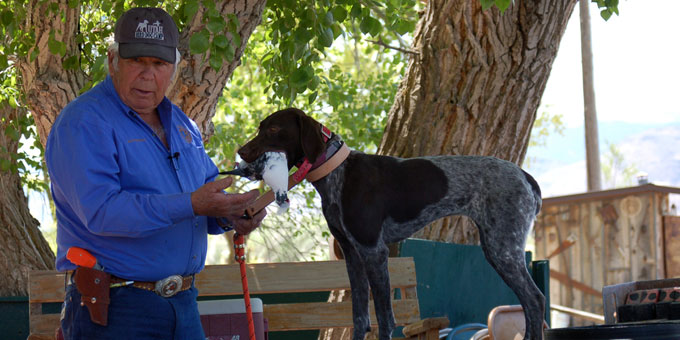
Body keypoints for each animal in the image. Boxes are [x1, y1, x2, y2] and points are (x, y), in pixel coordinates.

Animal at [236, 108, 544, 340]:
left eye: (273, 129)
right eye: (261, 127)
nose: (241, 151)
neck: (337, 173)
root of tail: (525, 176)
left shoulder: (374, 252)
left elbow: (384, 318)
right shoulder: (352, 255)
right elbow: (360, 317)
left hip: (503, 249)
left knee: (535, 300)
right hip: (498, 248)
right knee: (529, 303)